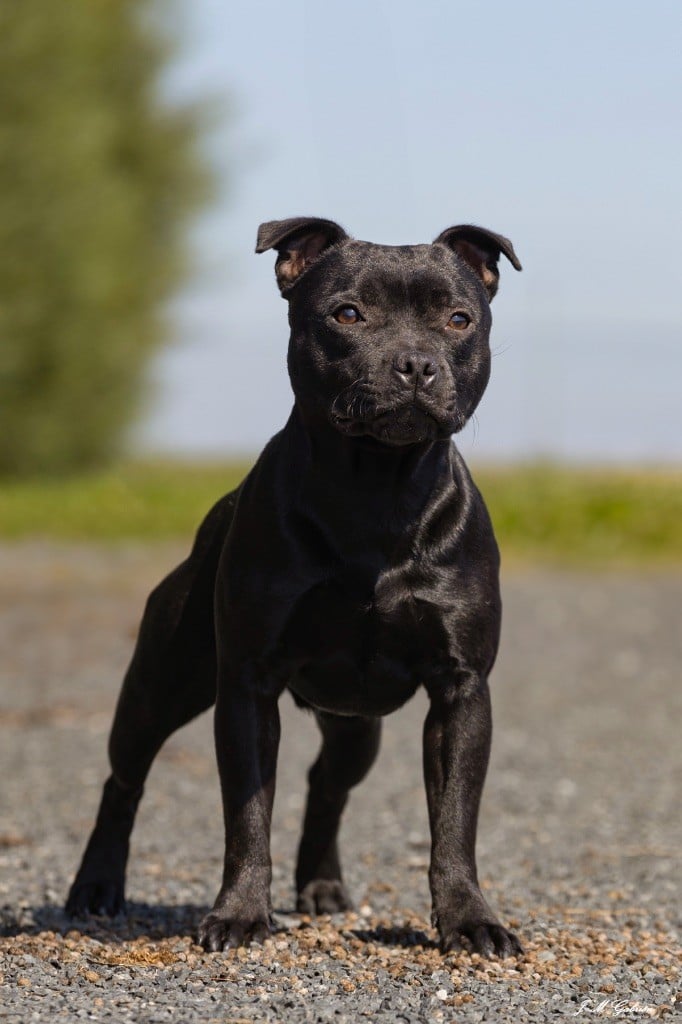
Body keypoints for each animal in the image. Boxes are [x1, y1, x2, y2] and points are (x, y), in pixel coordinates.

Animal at [66, 218, 520, 958]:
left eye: (459, 320)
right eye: (347, 314)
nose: (416, 364)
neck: (375, 489)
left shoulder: (461, 691)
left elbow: (455, 820)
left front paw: (469, 919)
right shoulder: (247, 688)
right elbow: (248, 815)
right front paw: (239, 914)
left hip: (356, 727)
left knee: (326, 785)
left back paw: (323, 886)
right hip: (161, 685)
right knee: (123, 778)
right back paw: (96, 887)